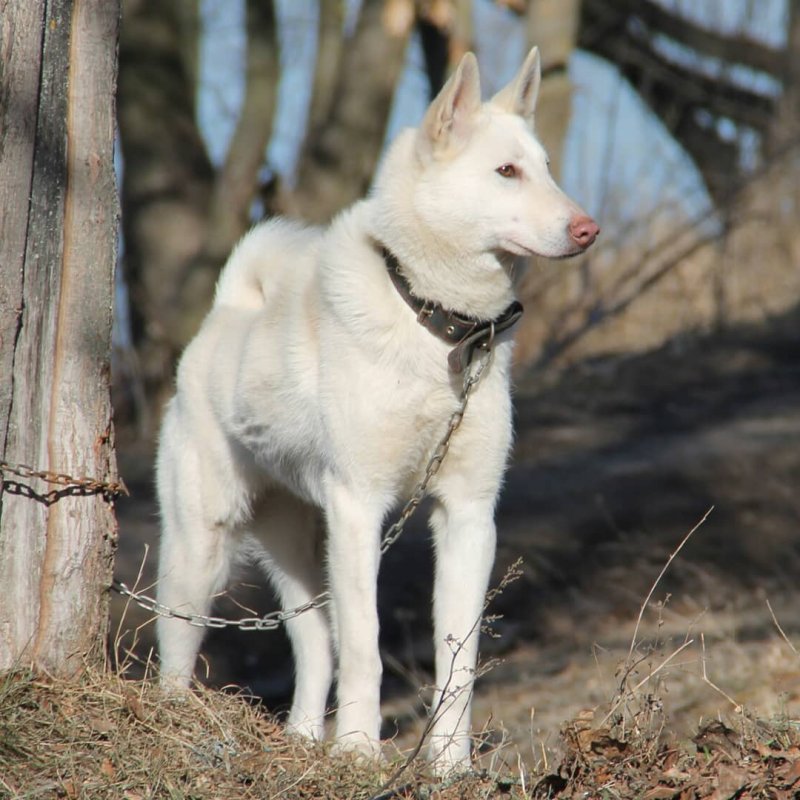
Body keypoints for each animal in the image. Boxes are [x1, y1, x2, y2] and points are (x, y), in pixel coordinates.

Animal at [155, 47, 592, 772]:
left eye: (550, 169)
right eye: (507, 172)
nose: (589, 228)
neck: (438, 328)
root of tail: (227, 311)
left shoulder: (469, 516)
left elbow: (457, 660)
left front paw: (450, 767)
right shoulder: (360, 509)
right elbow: (366, 647)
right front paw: (360, 753)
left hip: (299, 548)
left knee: (312, 647)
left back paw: (306, 741)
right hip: (202, 548)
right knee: (180, 646)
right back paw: (179, 722)